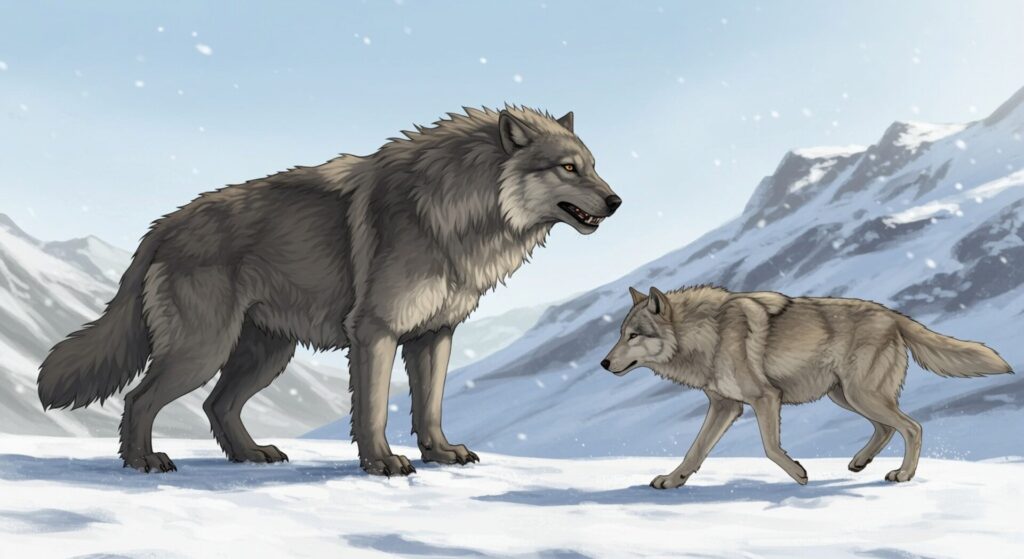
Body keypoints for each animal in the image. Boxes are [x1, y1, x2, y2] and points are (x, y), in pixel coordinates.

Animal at [38, 106, 621, 475]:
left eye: (594, 166)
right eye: (569, 167)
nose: (616, 201)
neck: (454, 210)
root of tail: (161, 226)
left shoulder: (434, 335)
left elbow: (430, 406)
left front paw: (439, 453)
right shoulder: (374, 332)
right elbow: (374, 408)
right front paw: (381, 463)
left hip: (265, 355)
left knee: (217, 406)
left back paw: (252, 455)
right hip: (202, 351)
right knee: (140, 399)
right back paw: (144, 462)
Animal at [601, 285, 1012, 488]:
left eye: (634, 335)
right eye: (620, 334)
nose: (604, 363)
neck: (705, 333)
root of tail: (894, 315)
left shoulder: (765, 398)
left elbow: (770, 448)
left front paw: (799, 474)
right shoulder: (725, 406)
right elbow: (694, 452)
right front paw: (673, 481)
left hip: (860, 395)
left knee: (913, 427)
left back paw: (903, 475)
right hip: (845, 396)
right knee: (886, 429)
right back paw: (860, 462)